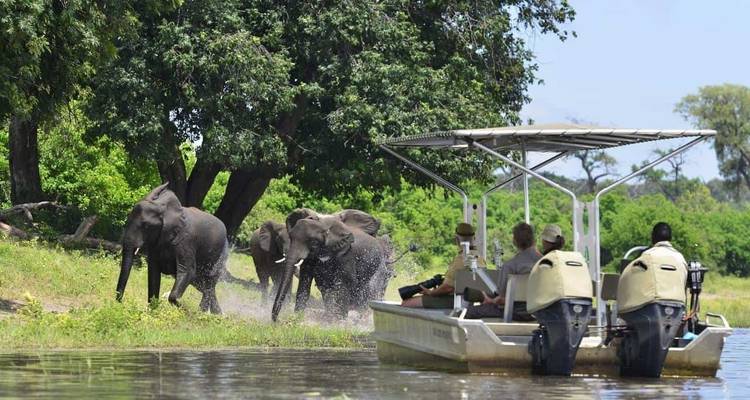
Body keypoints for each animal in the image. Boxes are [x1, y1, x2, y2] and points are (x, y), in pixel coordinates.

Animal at [115, 183, 228, 314]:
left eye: (146, 226)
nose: (120, 303)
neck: (164, 209)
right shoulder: (156, 241)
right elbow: (153, 271)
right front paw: (153, 312)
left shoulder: (186, 241)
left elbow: (187, 271)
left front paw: (184, 309)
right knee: (203, 285)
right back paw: (217, 314)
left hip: (221, 255)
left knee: (209, 282)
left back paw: (202, 313)